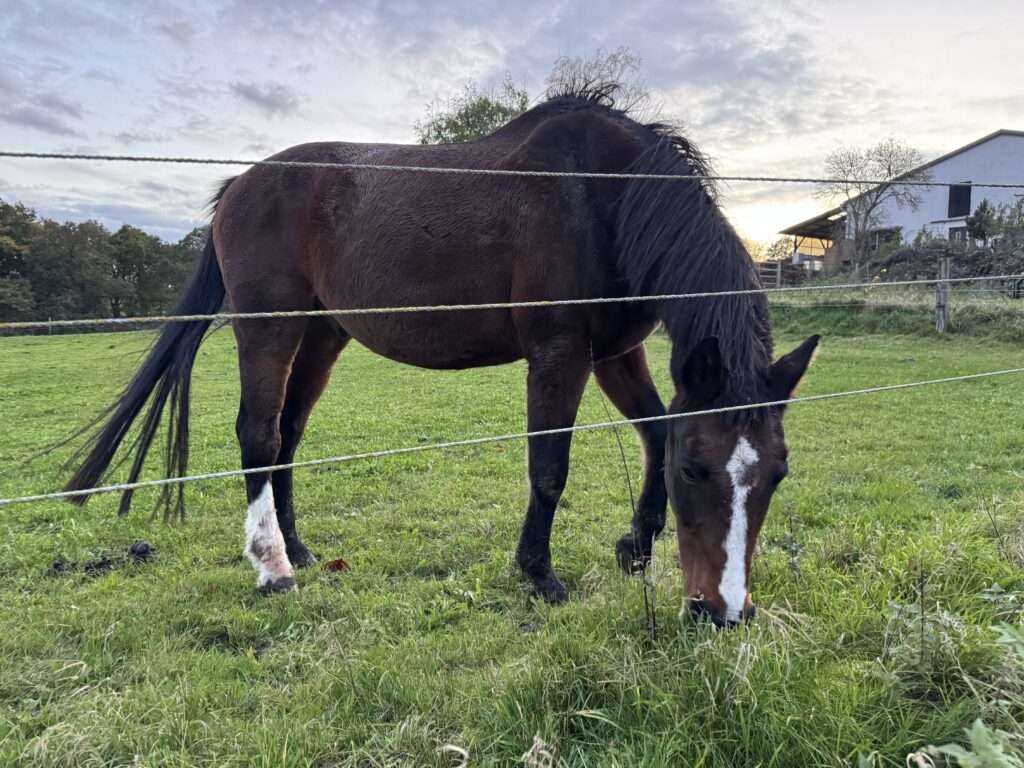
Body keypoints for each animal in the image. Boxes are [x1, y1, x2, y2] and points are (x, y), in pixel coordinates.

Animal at [64, 84, 817, 627]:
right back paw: (274, 569)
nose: (724, 612)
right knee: (257, 434)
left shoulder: (615, 354)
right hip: (267, 328)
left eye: (777, 474)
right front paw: (540, 573)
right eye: (697, 471)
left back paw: (302, 550)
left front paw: (634, 548)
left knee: (288, 434)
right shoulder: (560, 353)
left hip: (323, 335)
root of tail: (237, 189)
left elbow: (654, 430)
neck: (603, 195)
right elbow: (550, 468)